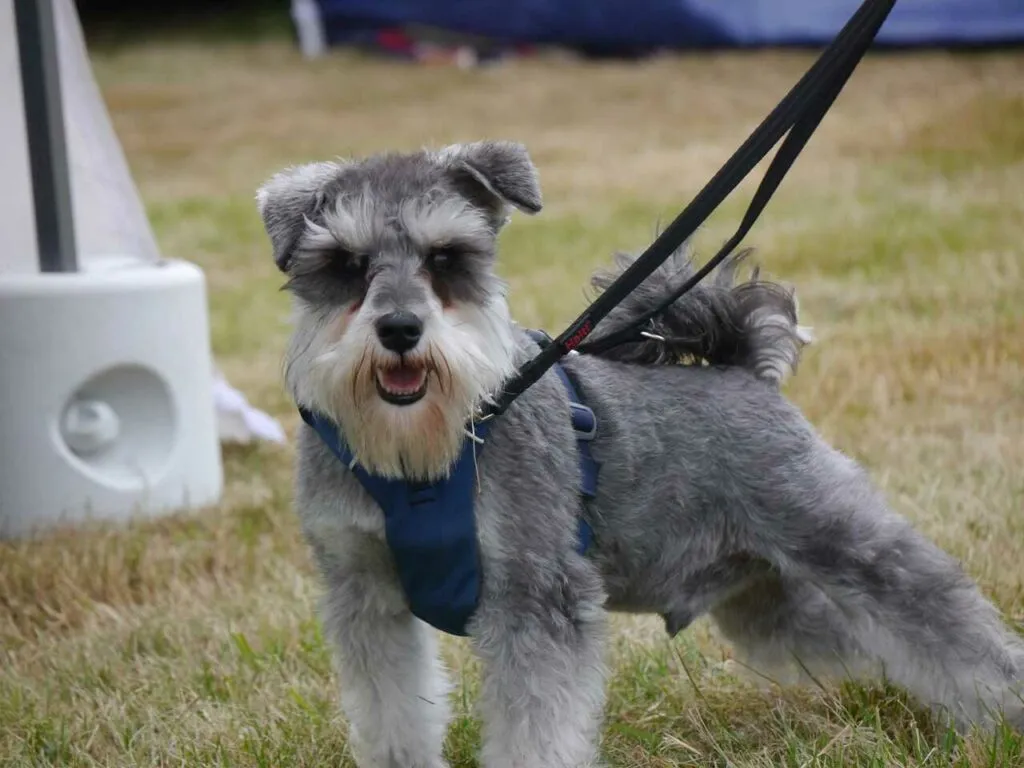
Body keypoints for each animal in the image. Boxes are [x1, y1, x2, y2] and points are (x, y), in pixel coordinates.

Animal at [256, 141, 1024, 765]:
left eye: (446, 258)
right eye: (347, 264)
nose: (399, 329)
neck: (421, 456)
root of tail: (744, 371)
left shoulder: (538, 601)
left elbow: (537, 730)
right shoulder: (364, 596)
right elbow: (392, 714)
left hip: (845, 542)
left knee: (948, 628)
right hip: (769, 601)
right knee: (868, 642)